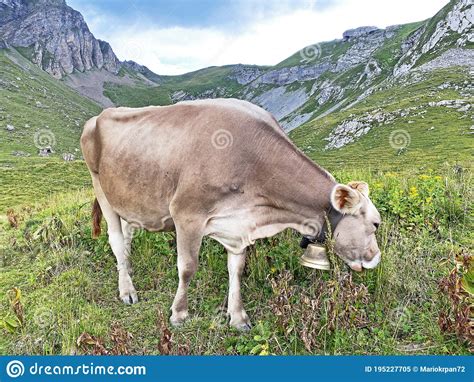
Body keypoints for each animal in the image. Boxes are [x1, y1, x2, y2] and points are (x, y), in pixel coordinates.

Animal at [78, 98, 382, 332]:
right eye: (375, 224)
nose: (375, 259)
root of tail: (99, 116)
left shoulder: (239, 225)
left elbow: (236, 268)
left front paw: (238, 317)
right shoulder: (187, 213)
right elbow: (187, 268)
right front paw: (179, 314)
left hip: (129, 198)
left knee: (127, 237)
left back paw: (128, 274)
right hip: (100, 187)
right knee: (116, 240)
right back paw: (127, 291)